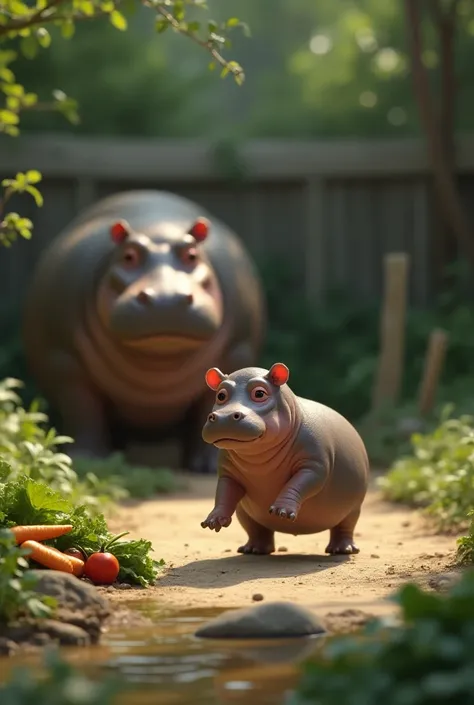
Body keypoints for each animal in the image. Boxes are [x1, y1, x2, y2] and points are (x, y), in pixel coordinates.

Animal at [200, 364, 370, 556]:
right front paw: (214, 520)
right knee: (256, 529)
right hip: (245, 514)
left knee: (345, 526)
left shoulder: (314, 464)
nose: (223, 416)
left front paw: (282, 511)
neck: (259, 459)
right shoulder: (228, 472)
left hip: (353, 508)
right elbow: (224, 492)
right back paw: (253, 549)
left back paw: (342, 550)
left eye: (260, 393)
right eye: (221, 395)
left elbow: (298, 483)